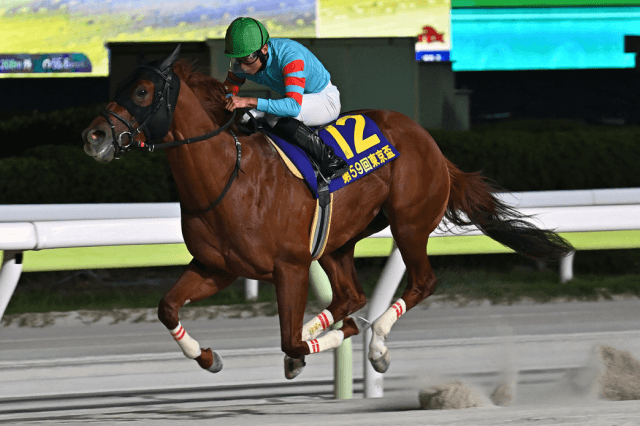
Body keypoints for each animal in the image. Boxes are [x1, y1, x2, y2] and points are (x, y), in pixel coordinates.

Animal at [82, 45, 573, 378]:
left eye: (142, 90)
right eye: (120, 85)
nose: (94, 137)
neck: (229, 177)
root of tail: (426, 139)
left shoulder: (290, 267)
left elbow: (290, 339)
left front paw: (327, 343)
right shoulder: (215, 267)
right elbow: (167, 307)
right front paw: (207, 357)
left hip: (409, 224)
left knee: (419, 283)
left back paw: (376, 346)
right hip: (339, 241)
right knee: (350, 296)